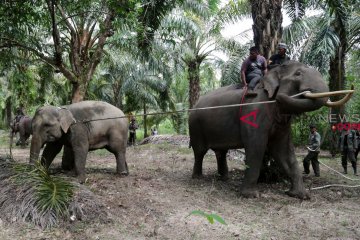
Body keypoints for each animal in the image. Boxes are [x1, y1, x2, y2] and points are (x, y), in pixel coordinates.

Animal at [190, 60, 352, 199]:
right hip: (195, 126)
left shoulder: (282, 125)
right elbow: (256, 148)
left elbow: (283, 151)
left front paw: (300, 195)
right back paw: (197, 177)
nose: (280, 97)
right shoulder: (254, 112)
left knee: (221, 152)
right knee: (200, 151)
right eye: (298, 74)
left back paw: (224, 178)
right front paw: (251, 195)